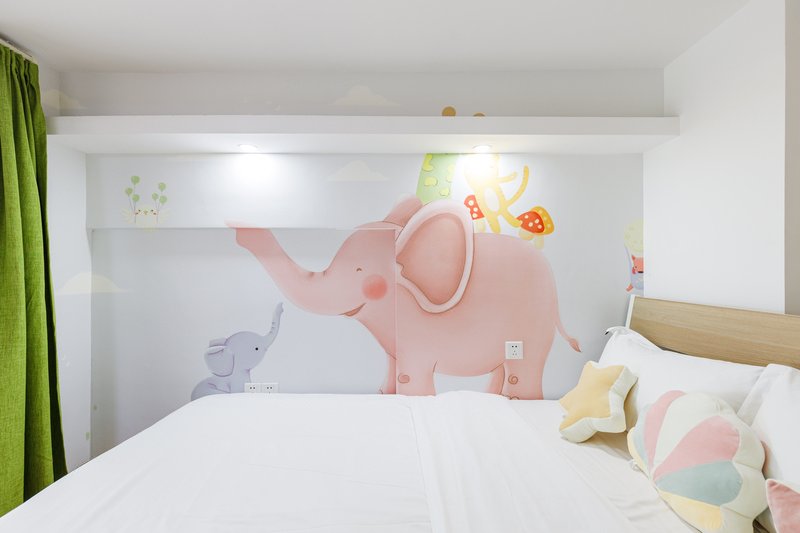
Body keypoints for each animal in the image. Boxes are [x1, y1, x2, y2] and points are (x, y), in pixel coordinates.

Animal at [232, 197, 579, 400]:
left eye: (359, 269)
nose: (238, 230)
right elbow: (391, 368)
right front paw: (385, 393)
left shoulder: (417, 336)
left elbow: (411, 378)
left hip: (534, 321)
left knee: (522, 365)